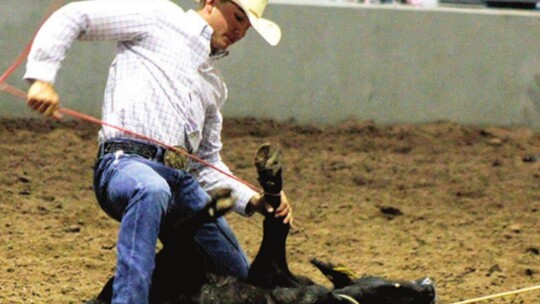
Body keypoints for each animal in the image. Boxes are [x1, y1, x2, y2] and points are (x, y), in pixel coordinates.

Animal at [87, 144, 434, 302]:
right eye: (395, 285)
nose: (429, 286)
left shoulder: (269, 271)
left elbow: (275, 237)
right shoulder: (270, 272)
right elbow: (277, 228)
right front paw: (270, 180)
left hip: (182, 263)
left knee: (179, 235)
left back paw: (213, 206)